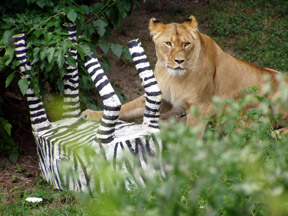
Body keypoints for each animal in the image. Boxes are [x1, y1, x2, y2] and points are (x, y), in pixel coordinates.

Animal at [81, 15, 288, 137]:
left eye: (187, 44)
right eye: (168, 43)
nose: (179, 61)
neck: (173, 76)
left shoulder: (201, 107)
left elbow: (191, 137)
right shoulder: (161, 98)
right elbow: (127, 107)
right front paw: (90, 114)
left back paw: (270, 135)